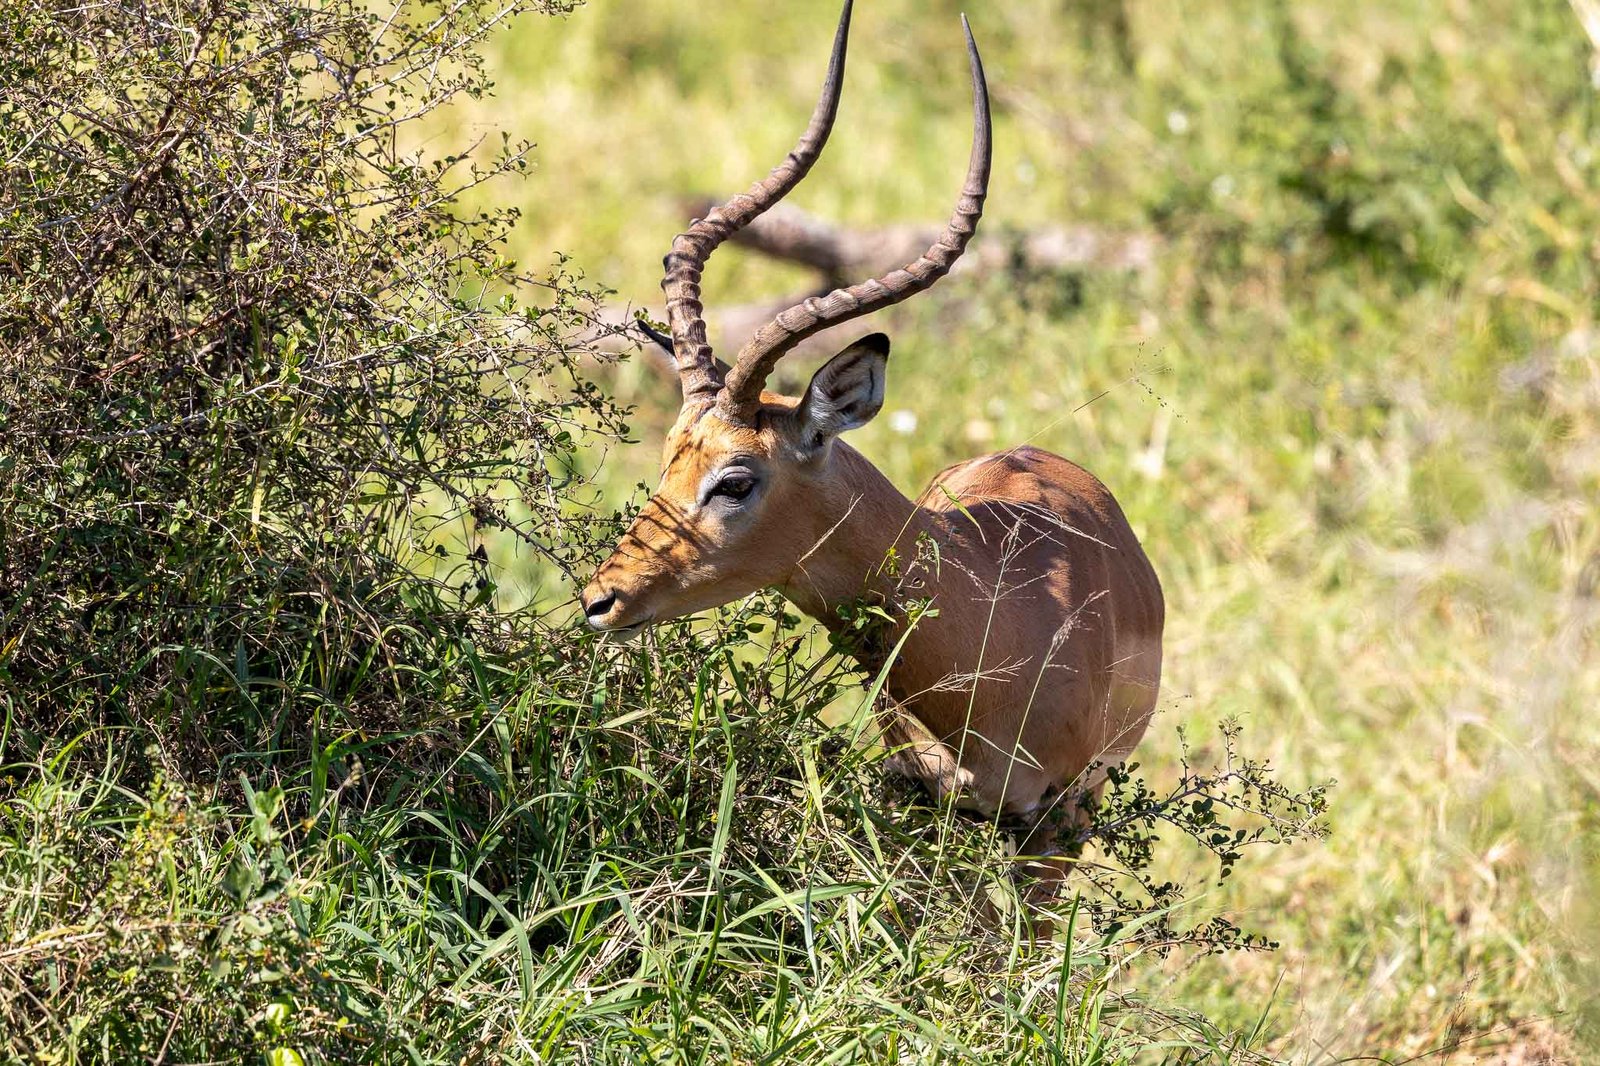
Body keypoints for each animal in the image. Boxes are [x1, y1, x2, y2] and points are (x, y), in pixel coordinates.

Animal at [581, 2, 1163, 882]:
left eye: (736, 479)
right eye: (670, 458)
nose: (600, 600)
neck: (996, 619)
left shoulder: (1054, 825)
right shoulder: (921, 798)